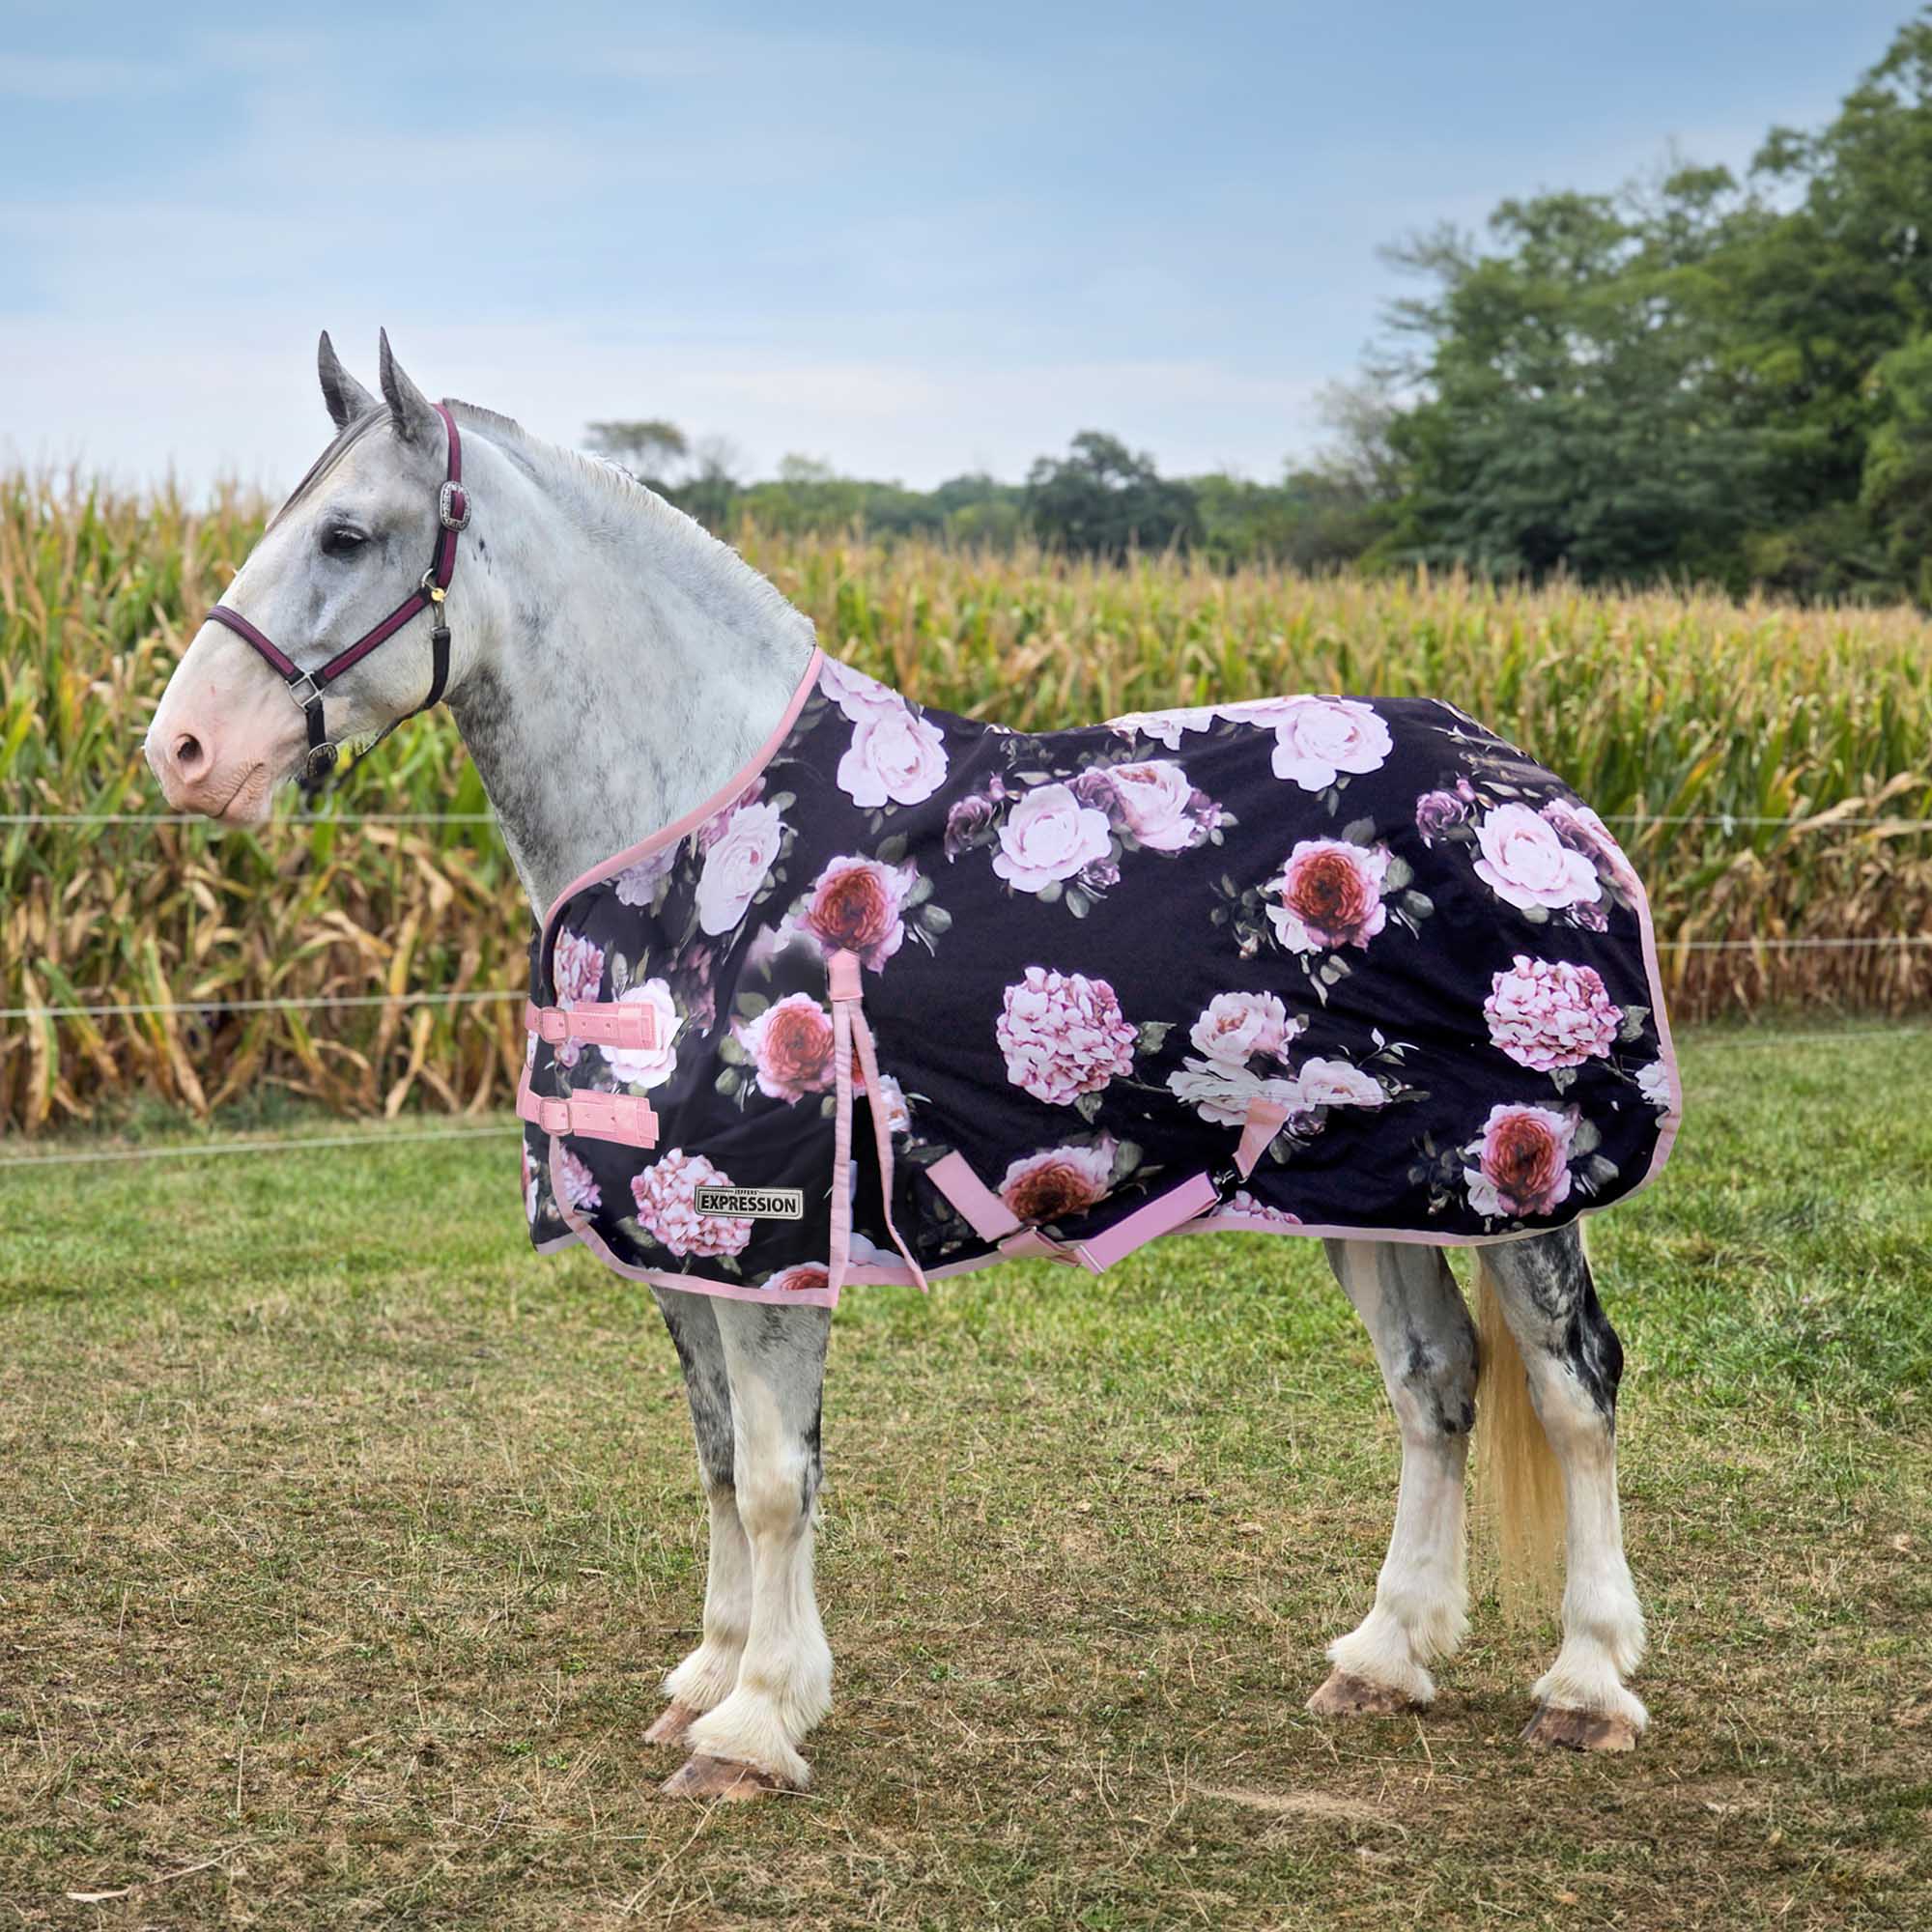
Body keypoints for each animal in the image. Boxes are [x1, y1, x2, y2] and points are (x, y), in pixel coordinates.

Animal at [145, 333, 1660, 1799]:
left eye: (345, 534)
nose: (182, 750)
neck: (699, 840)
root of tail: (1531, 786)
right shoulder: (686, 1244)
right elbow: (715, 1457)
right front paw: (709, 1675)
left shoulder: (771, 1236)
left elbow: (773, 1478)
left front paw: (755, 1724)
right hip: (1367, 1186)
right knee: (1434, 1382)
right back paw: (1385, 1655)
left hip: (1518, 1181)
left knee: (1572, 1386)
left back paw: (1585, 1683)